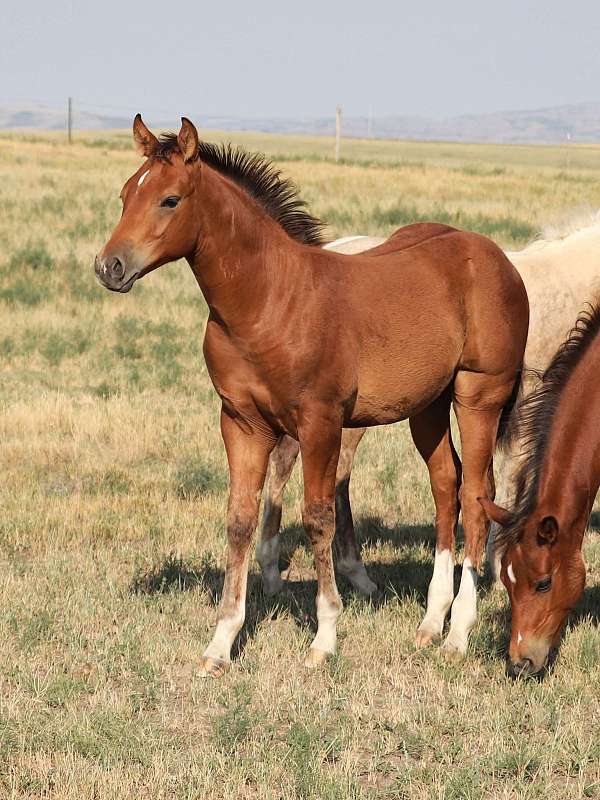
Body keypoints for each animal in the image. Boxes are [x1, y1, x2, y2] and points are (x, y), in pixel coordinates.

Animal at [95, 115, 528, 676]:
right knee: (445, 485)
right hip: (428, 407)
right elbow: (240, 519)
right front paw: (221, 644)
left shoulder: (320, 423)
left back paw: (458, 634)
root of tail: (498, 258)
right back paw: (432, 622)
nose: (109, 267)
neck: (269, 300)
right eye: (126, 194)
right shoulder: (241, 423)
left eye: (170, 200)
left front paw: (325, 637)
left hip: (479, 396)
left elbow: (318, 517)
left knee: (476, 494)